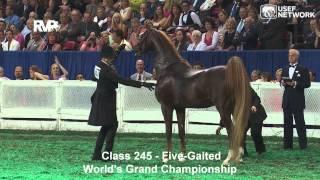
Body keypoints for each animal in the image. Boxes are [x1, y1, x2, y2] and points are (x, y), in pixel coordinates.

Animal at [136, 26, 251, 165]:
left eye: (142, 36)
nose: (135, 49)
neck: (168, 70)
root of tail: (230, 71)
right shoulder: (180, 108)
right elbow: (181, 131)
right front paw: (182, 157)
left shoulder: (166, 106)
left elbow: (168, 130)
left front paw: (166, 157)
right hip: (234, 108)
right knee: (239, 129)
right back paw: (239, 157)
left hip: (223, 109)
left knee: (231, 129)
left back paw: (228, 159)